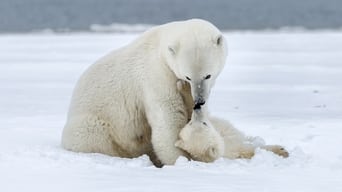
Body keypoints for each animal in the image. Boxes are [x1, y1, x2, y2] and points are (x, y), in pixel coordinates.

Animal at [61, 19, 227, 166]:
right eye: (188, 76)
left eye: (208, 75)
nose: (199, 101)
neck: (161, 46)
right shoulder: (156, 75)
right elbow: (168, 119)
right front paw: (180, 159)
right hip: (92, 125)